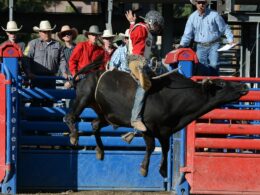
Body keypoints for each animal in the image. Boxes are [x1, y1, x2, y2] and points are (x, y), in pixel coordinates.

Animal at [64, 68, 249, 177]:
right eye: (222, 83)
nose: (244, 86)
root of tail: (86, 75)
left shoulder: (166, 131)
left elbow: (165, 148)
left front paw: (163, 170)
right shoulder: (148, 127)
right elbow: (151, 146)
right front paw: (144, 168)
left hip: (108, 115)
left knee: (95, 124)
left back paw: (100, 151)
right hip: (83, 98)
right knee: (70, 117)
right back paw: (74, 136)